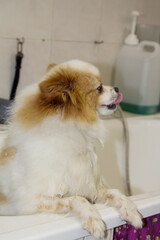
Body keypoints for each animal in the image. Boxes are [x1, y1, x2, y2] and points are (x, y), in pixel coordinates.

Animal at [0, 60, 142, 238]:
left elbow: (116, 192)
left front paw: (132, 212)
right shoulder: (34, 201)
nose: (116, 88)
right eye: (99, 88)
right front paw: (94, 221)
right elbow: (76, 199)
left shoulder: (90, 187)